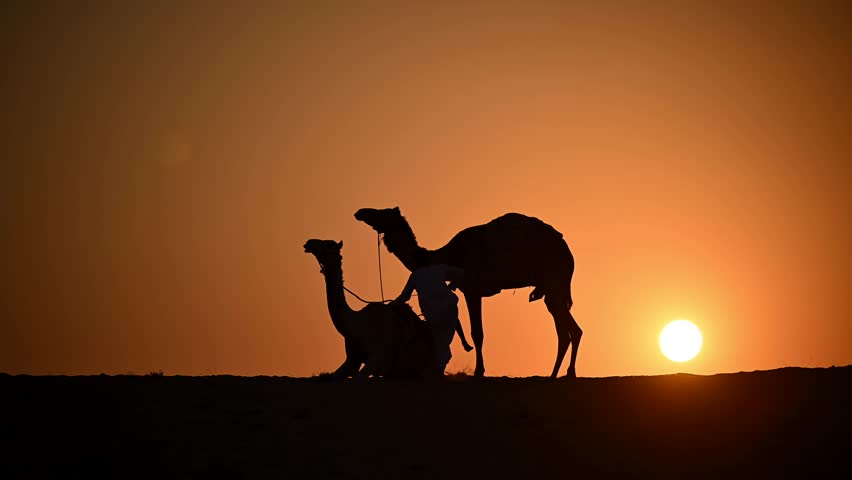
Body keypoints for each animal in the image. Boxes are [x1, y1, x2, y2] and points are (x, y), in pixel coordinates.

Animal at [354, 207, 582, 379]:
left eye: (382, 213)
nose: (360, 212)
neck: (446, 254)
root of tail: (567, 251)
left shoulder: (472, 289)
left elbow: (477, 333)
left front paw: (479, 371)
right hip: (554, 288)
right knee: (572, 329)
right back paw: (567, 373)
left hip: (554, 280)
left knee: (565, 331)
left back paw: (554, 374)